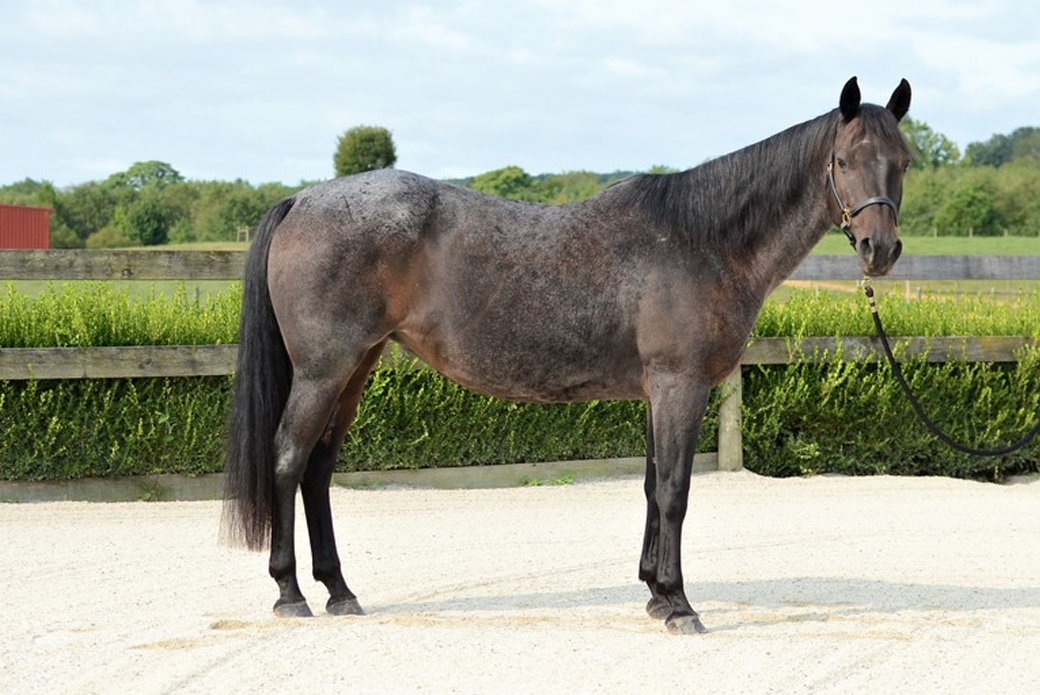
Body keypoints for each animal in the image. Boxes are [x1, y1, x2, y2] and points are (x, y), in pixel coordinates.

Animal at [221, 77, 911, 636]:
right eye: (843, 159)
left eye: (902, 161)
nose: (879, 249)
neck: (702, 241)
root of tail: (303, 200)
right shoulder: (679, 385)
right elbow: (675, 491)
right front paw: (681, 606)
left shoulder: (657, 390)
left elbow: (650, 486)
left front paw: (656, 595)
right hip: (323, 371)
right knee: (288, 460)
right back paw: (290, 593)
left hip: (355, 369)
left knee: (317, 470)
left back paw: (339, 591)